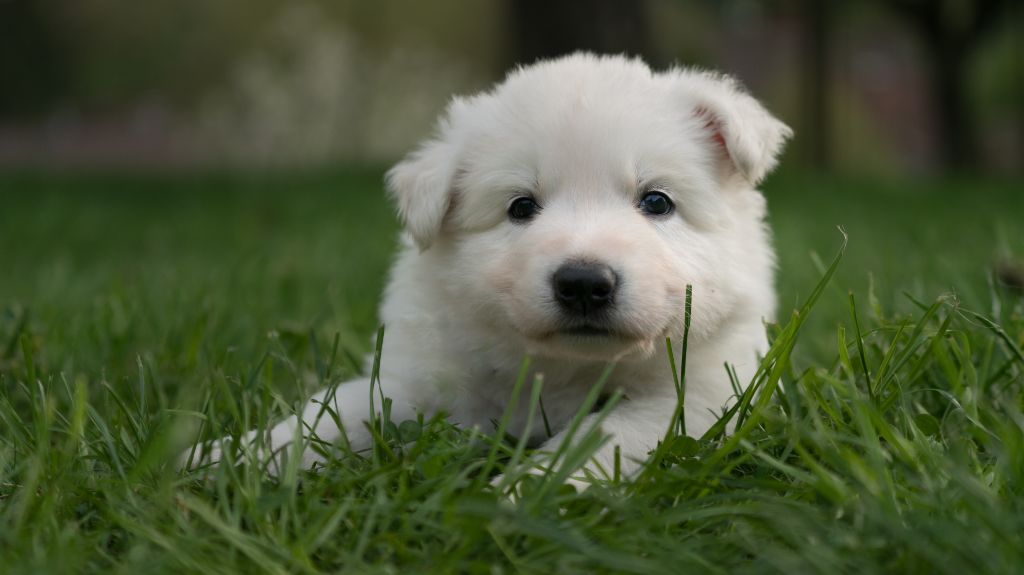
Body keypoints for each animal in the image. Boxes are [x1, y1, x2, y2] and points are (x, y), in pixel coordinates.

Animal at [184, 53, 791, 486]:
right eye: (521, 207)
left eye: (657, 202)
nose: (584, 284)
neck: (565, 367)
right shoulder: (416, 381)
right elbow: (330, 414)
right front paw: (219, 459)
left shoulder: (698, 395)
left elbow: (604, 437)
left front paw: (525, 495)